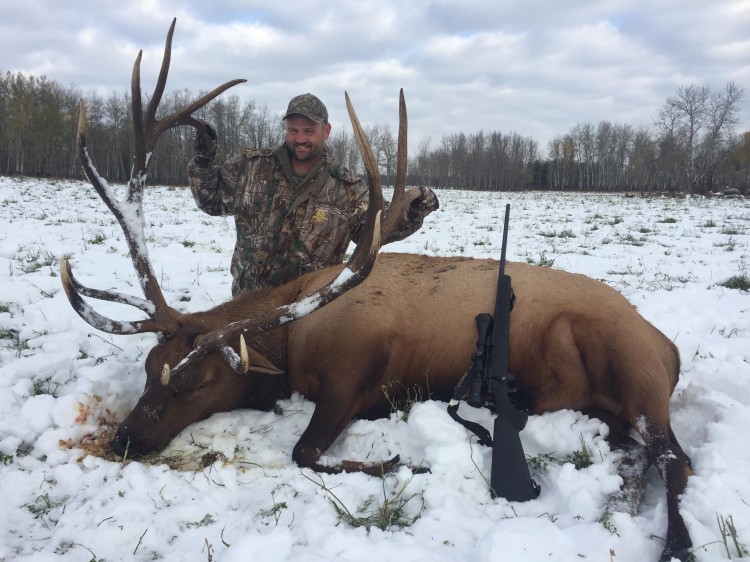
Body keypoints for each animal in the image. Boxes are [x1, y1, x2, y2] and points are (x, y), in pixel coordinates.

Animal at [60, 20, 693, 562]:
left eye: (194, 382)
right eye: (149, 369)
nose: (124, 439)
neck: (292, 343)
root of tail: (670, 347)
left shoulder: (356, 373)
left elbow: (305, 452)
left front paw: (403, 462)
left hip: (635, 371)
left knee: (676, 458)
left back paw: (675, 543)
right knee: (640, 455)